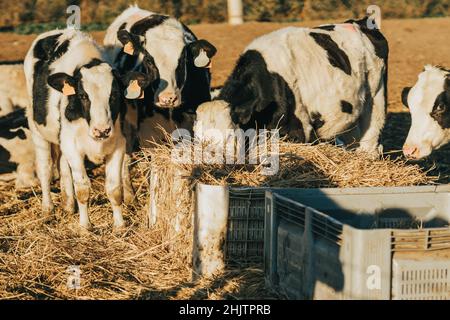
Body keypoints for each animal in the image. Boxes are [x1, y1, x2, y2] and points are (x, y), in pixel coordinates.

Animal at [24, 30, 126, 230]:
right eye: (83, 96)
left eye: (115, 95)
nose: (102, 130)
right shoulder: (72, 147)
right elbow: (83, 188)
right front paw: (85, 226)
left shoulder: (118, 145)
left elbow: (114, 189)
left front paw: (119, 225)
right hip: (37, 131)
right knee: (45, 169)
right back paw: (48, 208)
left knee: (63, 167)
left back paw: (68, 204)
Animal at [195, 18, 388, 157]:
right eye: (197, 138)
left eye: (230, 136)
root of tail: (360, 22)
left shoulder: (297, 129)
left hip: (376, 95)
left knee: (371, 137)